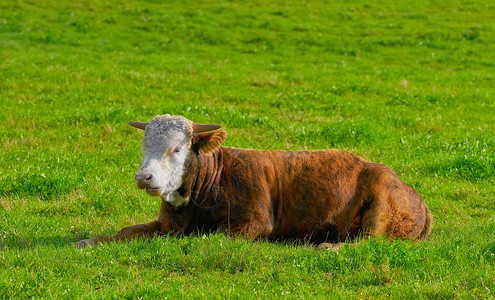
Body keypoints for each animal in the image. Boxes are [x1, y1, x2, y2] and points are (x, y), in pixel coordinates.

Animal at [75, 113, 432, 247]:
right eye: (144, 145)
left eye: (177, 148)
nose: (144, 176)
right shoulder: (167, 223)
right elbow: (126, 231)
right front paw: (87, 241)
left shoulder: (254, 223)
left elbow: (209, 237)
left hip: (380, 200)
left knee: (367, 240)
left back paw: (328, 245)